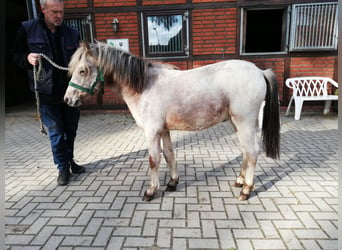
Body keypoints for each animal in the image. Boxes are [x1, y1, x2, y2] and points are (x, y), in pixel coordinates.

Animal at [64, 41, 280, 201]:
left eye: (82, 71)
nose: (68, 99)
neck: (144, 85)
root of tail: (260, 71)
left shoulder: (152, 132)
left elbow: (153, 160)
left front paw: (151, 191)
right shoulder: (164, 130)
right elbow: (169, 155)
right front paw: (172, 183)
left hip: (245, 122)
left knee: (252, 152)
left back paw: (246, 190)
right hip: (237, 123)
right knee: (245, 151)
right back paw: (239, 181)